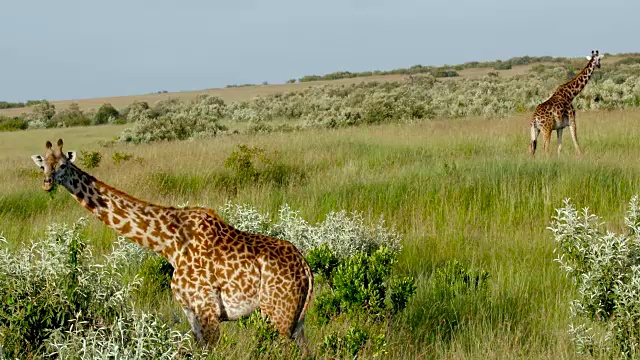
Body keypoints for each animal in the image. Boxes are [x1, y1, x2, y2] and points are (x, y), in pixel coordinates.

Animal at [30, 139, 316, 350]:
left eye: (63, 165)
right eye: (43, 166)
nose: (46, 184)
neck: (168, 244)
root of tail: (306, 268)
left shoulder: (207, 308)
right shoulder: (190, 311)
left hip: (278, 313)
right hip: (297, 320)